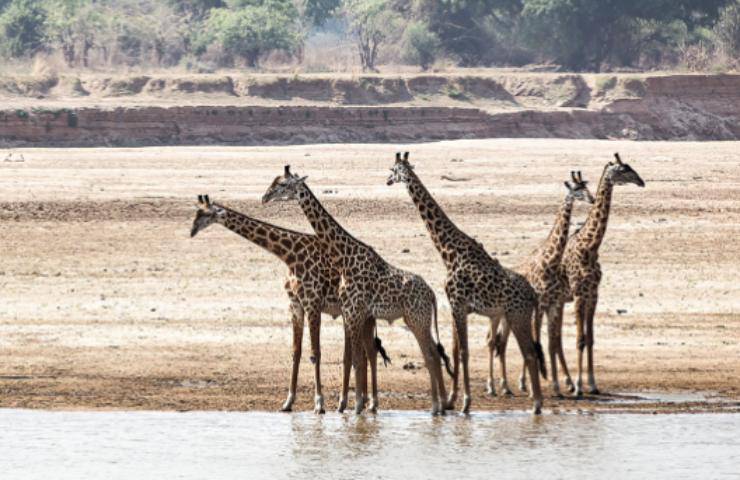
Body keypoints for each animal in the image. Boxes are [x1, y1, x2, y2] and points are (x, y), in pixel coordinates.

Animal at [190, 194, 387, 413]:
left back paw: (371, 403)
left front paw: (319, 403)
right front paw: (288, 402)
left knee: (369, 352)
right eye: (196, 212)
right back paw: (349, 403)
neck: (290, 256)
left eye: (206, 214)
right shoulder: (295, 305)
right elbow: (296, 352)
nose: (192, 230)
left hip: (362, 314)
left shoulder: (312, 303)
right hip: (353, 315)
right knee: (358, 353)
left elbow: (315, 353)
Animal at [262, 166, 452, 415]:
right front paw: (357, 405)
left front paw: (357, 407)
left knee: (430, 355)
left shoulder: (352, 312)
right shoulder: (353, 313)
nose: (264, 197)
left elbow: (355, 360)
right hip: (417, 320)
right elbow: (356, 359)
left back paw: (437, 406)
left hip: (417, 320)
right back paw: (439, 406)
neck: (346, 255)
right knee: (432, 354)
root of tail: (432, 295)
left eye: (283, 185)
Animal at [387, 152, 546, 414]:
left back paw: (536, 404)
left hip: (517, 316)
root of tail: (533, 295)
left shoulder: (458, 305)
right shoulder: (455, 307)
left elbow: (464, 351)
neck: (449, 252)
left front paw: (466, 403)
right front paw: (451, 400)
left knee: (530, 353)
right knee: (530, 351)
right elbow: (454, 350)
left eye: (392, 169)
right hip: (516, 316)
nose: (388, 180)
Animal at [494, 171, 595, 397]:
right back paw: (504, 386)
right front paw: (540, 387)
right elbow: (541, 341)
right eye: (577, 190)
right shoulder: (541, 305)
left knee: (503, 343)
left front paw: (557, 385)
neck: (550, 261)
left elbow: (550, 342)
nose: (593, 199)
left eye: (587, 187)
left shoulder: (553, 304)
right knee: (501, 343)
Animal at [559, 153, 645, 396]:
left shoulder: (593, 295)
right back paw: (567, 383)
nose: (641, 181)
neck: (590, 247)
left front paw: (593, 384)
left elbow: (590, 338)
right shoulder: (580, 295)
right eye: (624, 169)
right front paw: (580, 387)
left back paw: (566, 381)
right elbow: (580, 339)